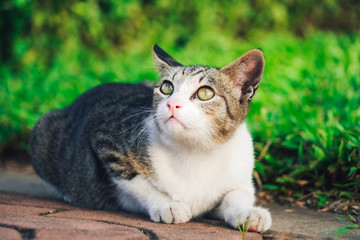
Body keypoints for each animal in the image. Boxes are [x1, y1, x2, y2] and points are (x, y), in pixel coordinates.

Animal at [31, 44, 272, 232]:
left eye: (205, 93)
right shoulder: (104, 132)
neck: (197, 150)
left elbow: (236, 194)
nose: (172, 104)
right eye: (166, 88)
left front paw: (248, 213)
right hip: (43, 130)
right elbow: (136, 180)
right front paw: (167, 205)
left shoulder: (240, 174)